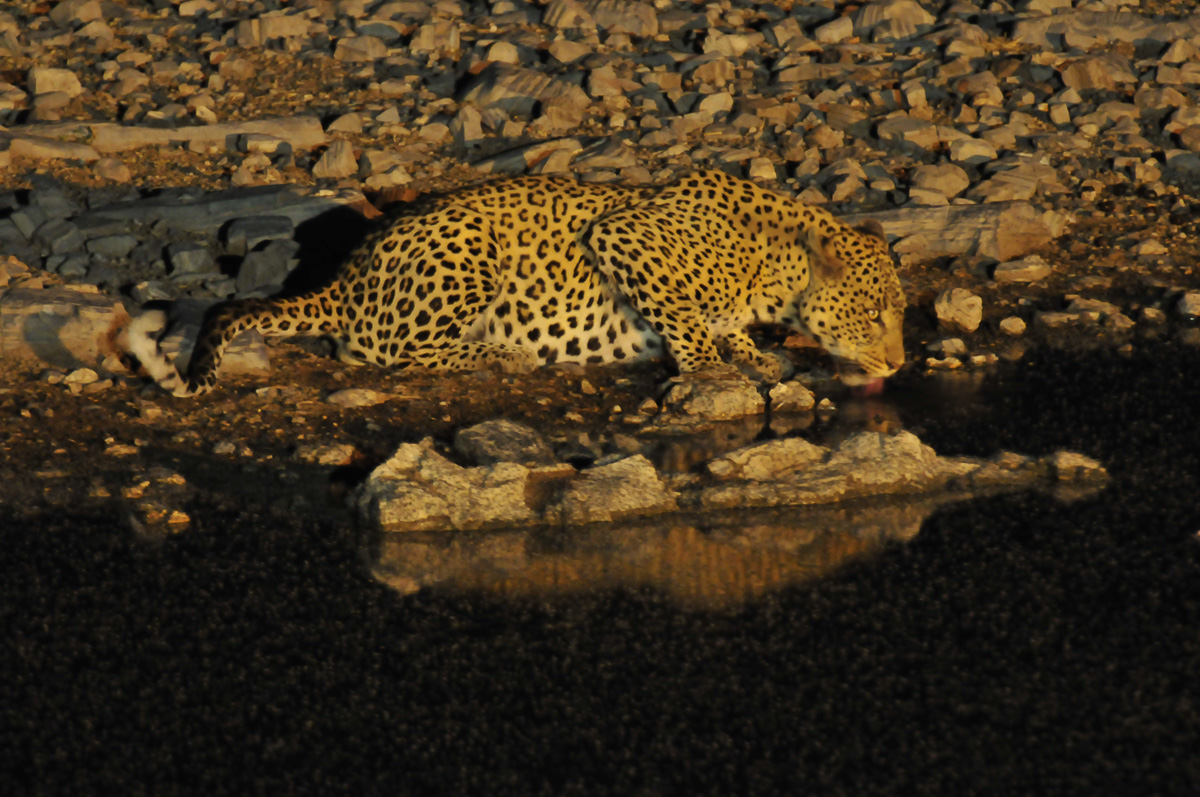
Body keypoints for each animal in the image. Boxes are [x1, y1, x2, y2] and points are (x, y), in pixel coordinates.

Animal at [127, 169, 906, 397]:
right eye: (875, 314)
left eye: (898, 312)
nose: (898, 363)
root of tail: (347, 275)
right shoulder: (625, 235)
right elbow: (685, 320)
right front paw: (710, 369)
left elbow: (730, 330)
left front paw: (753, 354)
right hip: (467, 251)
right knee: (381, 352)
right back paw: (502, 353)